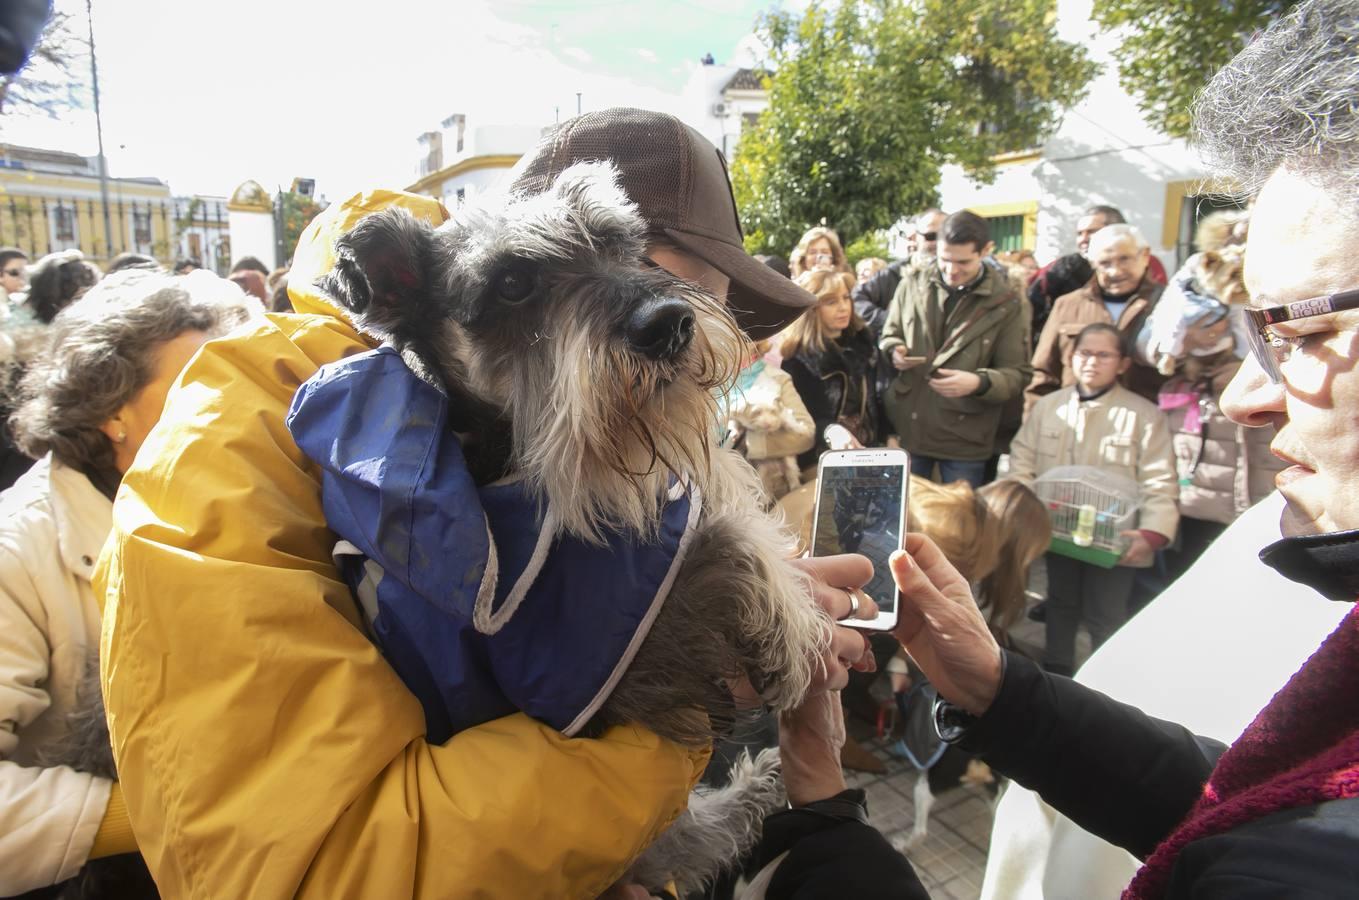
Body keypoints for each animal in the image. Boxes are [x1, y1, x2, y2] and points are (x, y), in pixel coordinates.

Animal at [300, 163, 826, 897]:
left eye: (623, 244)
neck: (503, 458)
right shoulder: (598, 662)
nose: (668, 325)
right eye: (511, 284)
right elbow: (721, 538)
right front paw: (791, 629)